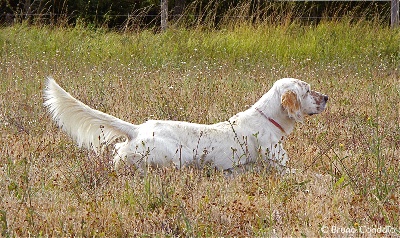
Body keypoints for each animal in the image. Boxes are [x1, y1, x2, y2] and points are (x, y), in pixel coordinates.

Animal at [43, 77, 328, 172]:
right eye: (308, 90)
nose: (326, 97)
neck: (266, 118)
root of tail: (138, 128)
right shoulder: (279, 167)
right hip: (175, 157)